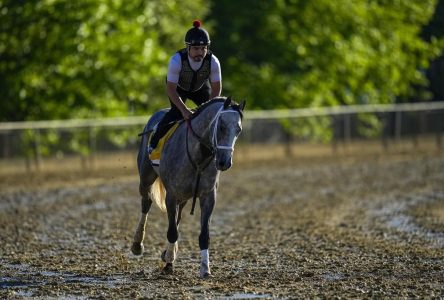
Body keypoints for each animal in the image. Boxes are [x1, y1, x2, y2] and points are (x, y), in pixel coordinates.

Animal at [132, 97, 245, 278]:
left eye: (238, 130)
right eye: (221, 126)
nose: (224, 162)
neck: (199, 155)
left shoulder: (208, 196)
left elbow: (204, 235)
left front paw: (205, 269)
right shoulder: (171, 194)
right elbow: (172, 231)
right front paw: (169, 262)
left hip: (184, 195)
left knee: (177, 215)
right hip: (146, 178)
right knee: (146, 203)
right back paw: (137, 244)